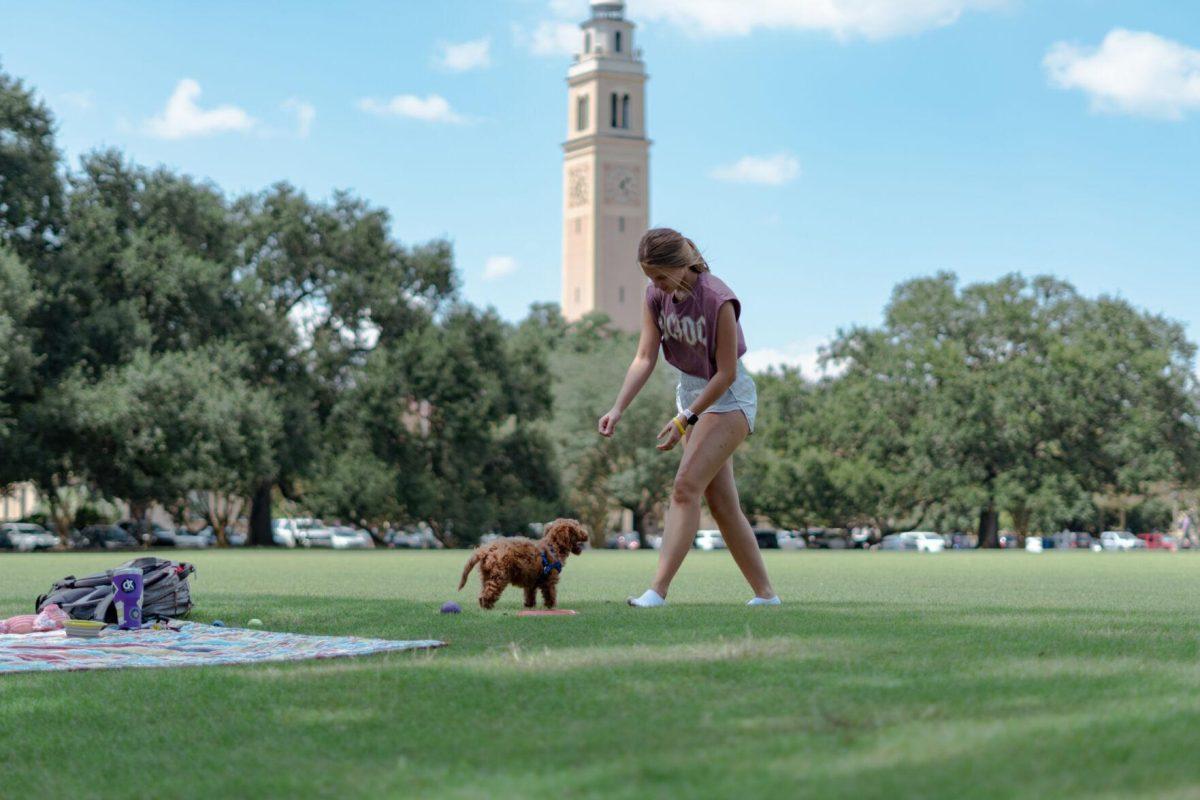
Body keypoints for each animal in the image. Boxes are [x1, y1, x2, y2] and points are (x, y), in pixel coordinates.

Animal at [456, 515, 588, 609]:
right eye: (578, 527)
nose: (587, 534)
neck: (553, 546)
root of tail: (488, 548)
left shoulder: (532, 581)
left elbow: (530, 594)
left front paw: (530, 606)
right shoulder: (549, 579)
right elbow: (551, 593)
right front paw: (552, 607)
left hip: (487, 574)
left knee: (483, 591)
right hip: (499, 575)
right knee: (489, 592)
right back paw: (488, 606)